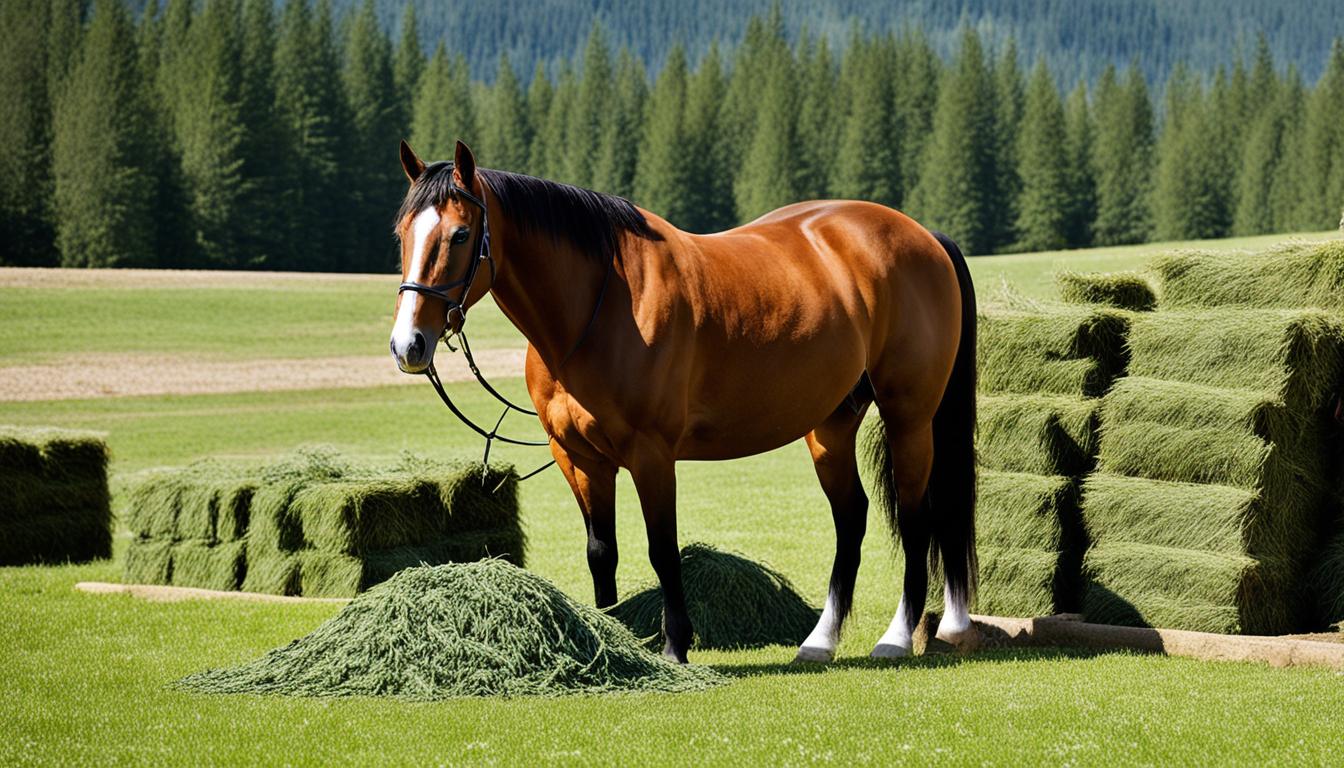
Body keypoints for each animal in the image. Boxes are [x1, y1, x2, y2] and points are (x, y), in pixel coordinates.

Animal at [389, 141, 978, 664]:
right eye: (402, 233)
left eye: (461, 233)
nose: (408, 345)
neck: (604, 305)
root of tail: (922, 235)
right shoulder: (579, 459)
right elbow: (602, 552)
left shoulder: (651, 454)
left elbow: (661, 549)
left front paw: (675, 646)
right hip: (830, 426)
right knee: (851, 518)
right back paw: (819, 641)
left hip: (910, 418)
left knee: (918, 517)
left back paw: (896, 638)